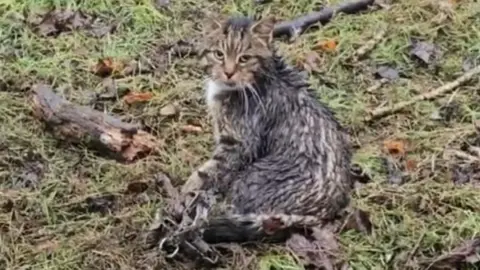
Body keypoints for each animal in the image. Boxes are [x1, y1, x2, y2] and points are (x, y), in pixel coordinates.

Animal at [180, 14, 352, 243]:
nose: (228, 73)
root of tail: (324, 213)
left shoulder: (239, 144)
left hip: (248, 180)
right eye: (218, 54)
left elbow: (208, 170)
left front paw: (188, 190)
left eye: (244, 58)